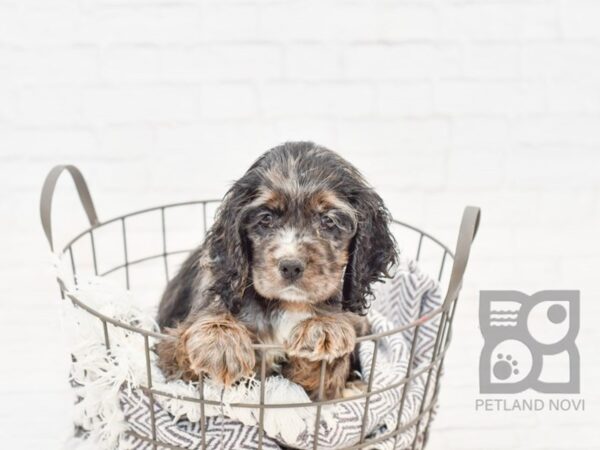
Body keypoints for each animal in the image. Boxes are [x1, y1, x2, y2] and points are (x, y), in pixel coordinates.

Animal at [157, 142, 396, 400]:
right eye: (266, 218)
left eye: (328, 221)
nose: (291, 266)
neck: (287, 305)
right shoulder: (170, 356)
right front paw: (219, 339)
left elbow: (328, 370)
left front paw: (321, 326)